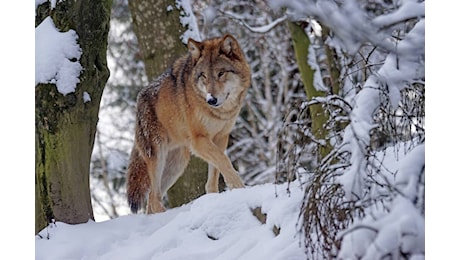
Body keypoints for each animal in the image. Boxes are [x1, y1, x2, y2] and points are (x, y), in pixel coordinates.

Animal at [126, 34, 252, 213]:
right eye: (204, 75)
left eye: (221, 73)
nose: (211, 100)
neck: (219, 113)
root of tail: (139, 99)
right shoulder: (199, 141)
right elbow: (224, 161)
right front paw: (240, 188)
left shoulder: (220, 138)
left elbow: (215, 172)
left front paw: (215, 198)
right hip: (158, 156)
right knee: (154, 198)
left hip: (177, 164)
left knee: (151, 200)